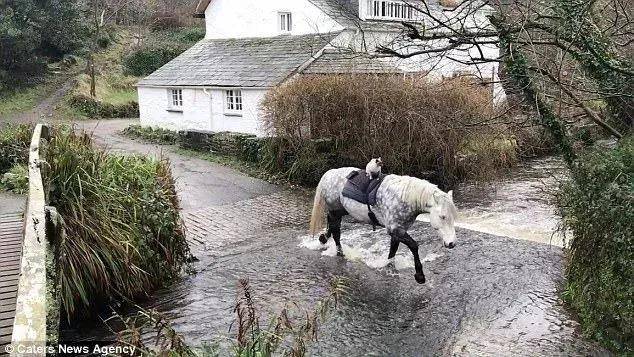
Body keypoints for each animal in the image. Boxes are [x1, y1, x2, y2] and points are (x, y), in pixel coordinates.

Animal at [306, 168, 454, 284]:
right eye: (442, 217)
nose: (451, 243)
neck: (405, 198)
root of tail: (329, 173)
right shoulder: (395, 229)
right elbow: (414, 246)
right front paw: (420, 276)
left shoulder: (398, 230)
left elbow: (393, 249)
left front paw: (389, 266)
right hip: (335, 210)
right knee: (336, 231)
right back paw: (339, 252)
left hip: (341, 210)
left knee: (331, 225)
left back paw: (323, 238)